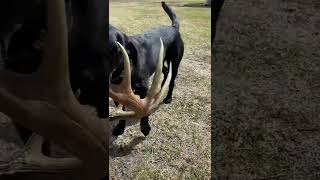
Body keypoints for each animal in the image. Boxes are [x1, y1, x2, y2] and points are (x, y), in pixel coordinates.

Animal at [109, 1, 184, 136]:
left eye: (116, 51)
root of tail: (173, 27)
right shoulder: (117, 91)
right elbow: (122, 110)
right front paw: (120, 127)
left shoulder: (143, 89)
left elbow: (144, 111)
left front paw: (145, 128)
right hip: (161, 62)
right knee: (166, 72)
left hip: (175, 62)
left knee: (172, 80)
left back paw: (168, 97)